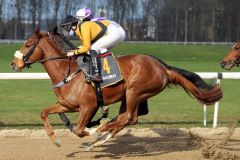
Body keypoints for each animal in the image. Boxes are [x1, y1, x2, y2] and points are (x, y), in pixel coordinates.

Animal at [9, 28, 223, 150]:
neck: (68, 71)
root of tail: (164, 68)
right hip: (128, 97)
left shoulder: (89, 106)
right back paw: (102, 135)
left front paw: (92, 131)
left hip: (135, 91)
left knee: (130, 118)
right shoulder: (67, 105)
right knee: (124, 118)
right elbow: (44, 113)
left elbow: (79, 130)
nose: (13, 64)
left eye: (28, 44)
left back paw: (101, 131)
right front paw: (56, 141)